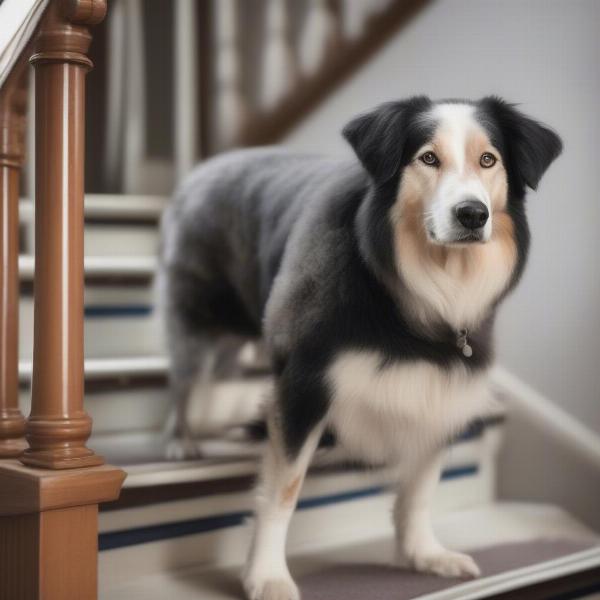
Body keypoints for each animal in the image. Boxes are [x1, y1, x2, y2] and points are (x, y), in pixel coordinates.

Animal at [159, 97, 564, 600]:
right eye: (428, 158)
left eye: (488, 160)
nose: (472, 214)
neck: (416, 292)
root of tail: (208, 165)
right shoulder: (305, 381)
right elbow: (283, 491)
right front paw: (266, 575)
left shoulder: (444, 389)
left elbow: (420, 490)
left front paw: (422, 554)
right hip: (197, 316)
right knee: (185, 380)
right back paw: (180, 439)